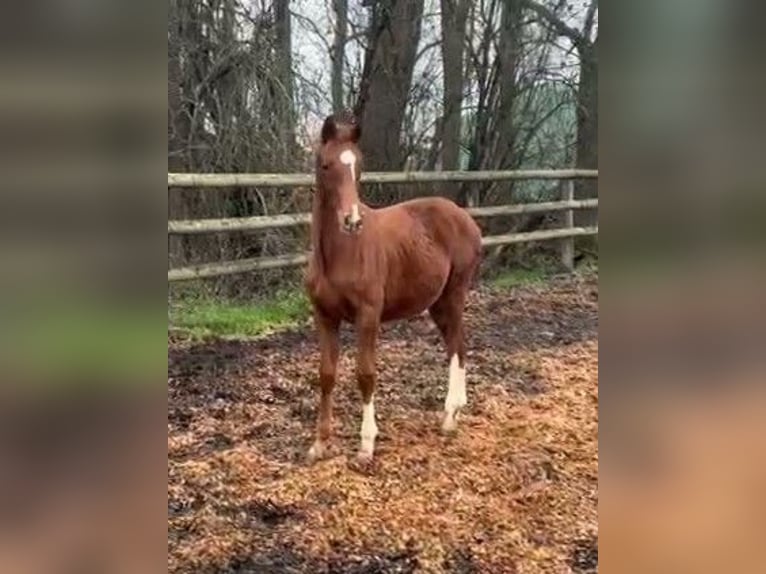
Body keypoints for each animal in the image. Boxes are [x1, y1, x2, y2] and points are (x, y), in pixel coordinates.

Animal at [304, 110, 480, 466]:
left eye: (358, 165)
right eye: (326, 165)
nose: (352, 221)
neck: (339, 254)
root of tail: (467, 219)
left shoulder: (368, 315)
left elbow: (365, 374)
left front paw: (366, 446)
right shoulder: (324, 316)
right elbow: (326, 374)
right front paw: (320, 443)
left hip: (455, 294)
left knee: (459, 345)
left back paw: (450, 416)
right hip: (437, 303)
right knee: (456, 345)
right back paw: (451, 416)